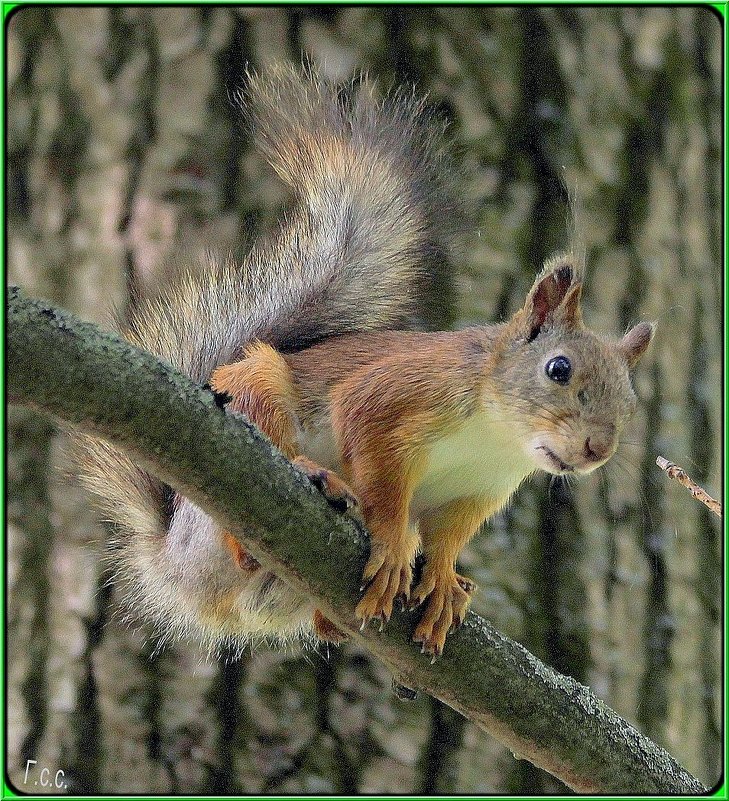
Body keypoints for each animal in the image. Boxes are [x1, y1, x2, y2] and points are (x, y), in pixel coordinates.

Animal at [75, 65, 656, 660]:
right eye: (558, 369)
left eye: (632, 404)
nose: (597, 449)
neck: (495, 436)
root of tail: (174, 567)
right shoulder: (397, 395)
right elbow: (379, 472)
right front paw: (395, 541)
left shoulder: (477, 491)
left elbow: (448, 538)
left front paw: (442, 580)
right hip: (252, 405)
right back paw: (311, 482)